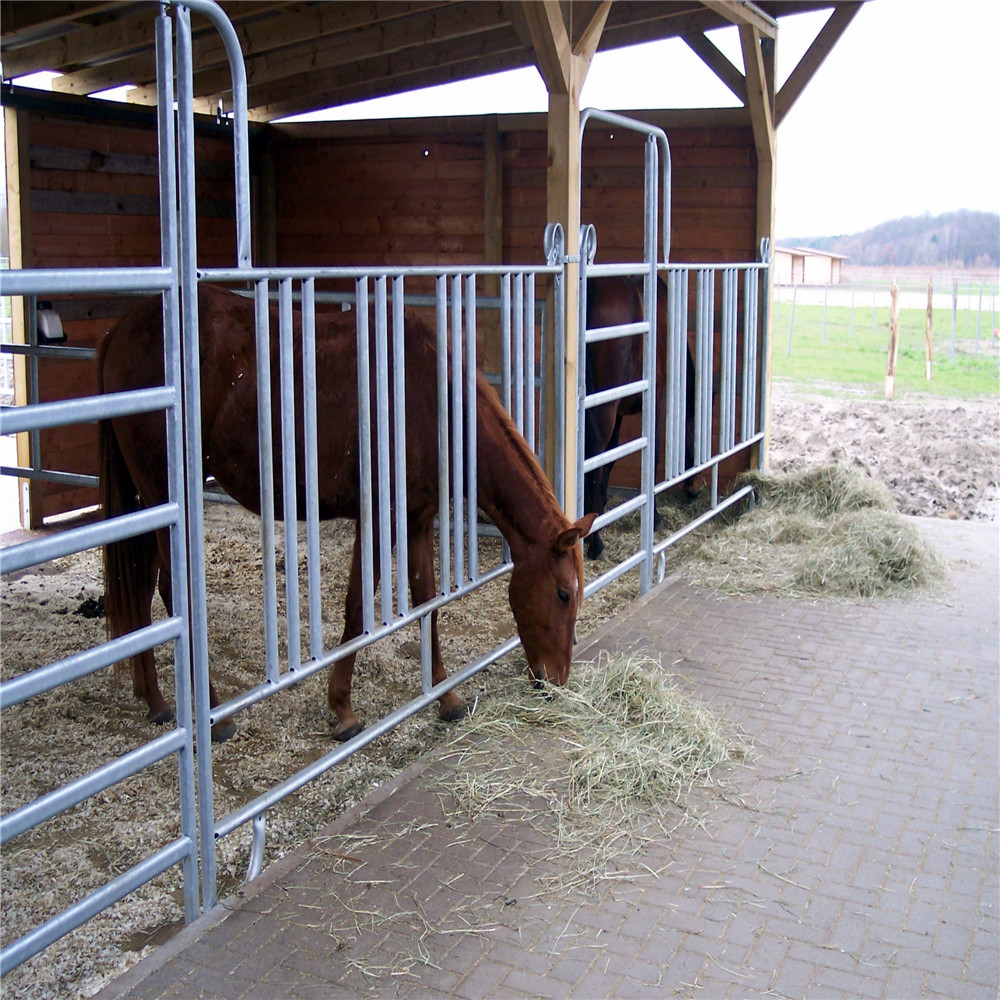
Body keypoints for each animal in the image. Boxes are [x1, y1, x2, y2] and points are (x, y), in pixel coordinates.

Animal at [99, 282, 592, 744]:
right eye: (563, 594)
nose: (555, 683)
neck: (425, 397)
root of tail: (122, 328)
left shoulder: (416, 520)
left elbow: (427, 602)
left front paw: (445, 697)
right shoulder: (378, 519)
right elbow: (357, 608)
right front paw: (343, 710)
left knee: (142, 588)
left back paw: (156, 701)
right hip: (162, 491)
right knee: (168, 591)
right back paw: (215, 716)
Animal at [584, 278, 696, 560]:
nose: (693, 490)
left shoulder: (619, 412)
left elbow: (611, 458)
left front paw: (603, 509)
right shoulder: (656, 398)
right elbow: (652, 454)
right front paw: (654, 517)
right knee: (593, 457)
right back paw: (595, 543)